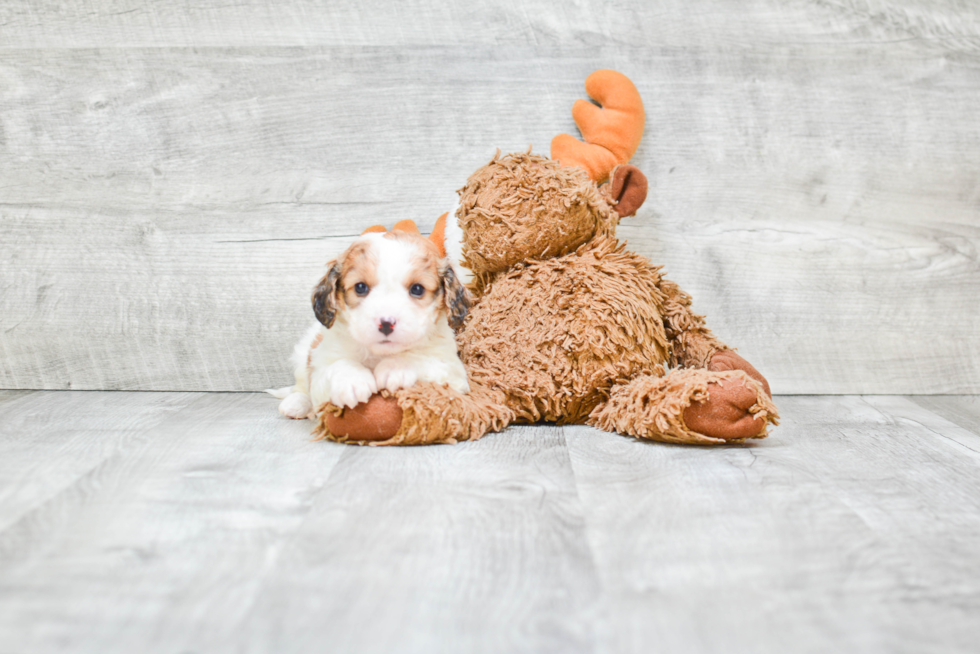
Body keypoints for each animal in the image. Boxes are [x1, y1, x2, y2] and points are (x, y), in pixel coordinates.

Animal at [266, 224, 468, 420]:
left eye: (417, 289)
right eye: (360, 287)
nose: (386, 323)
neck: (377, 354)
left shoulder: (454, 373)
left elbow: (423, 359)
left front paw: (397, 367)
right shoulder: (320, 372)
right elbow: (335, 367)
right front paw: (352, 379)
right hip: (303, 353)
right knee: (300, 385)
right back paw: (296, 403)